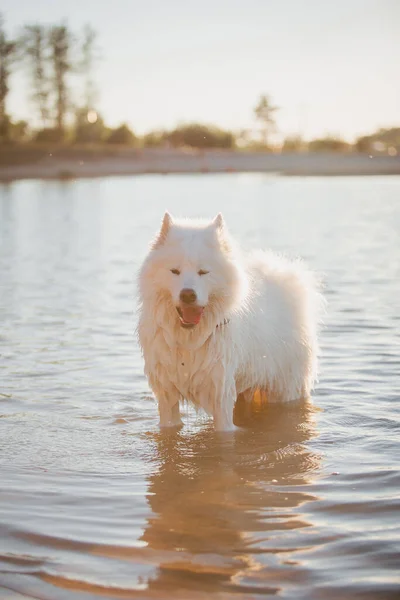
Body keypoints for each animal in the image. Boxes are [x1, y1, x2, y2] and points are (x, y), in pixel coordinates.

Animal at [138, 213, 322, 428]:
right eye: (174, 271)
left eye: (203, 272)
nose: (188, 295)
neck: (190, 339)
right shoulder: (167, 393)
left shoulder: (220, 390)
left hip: (285, 387)